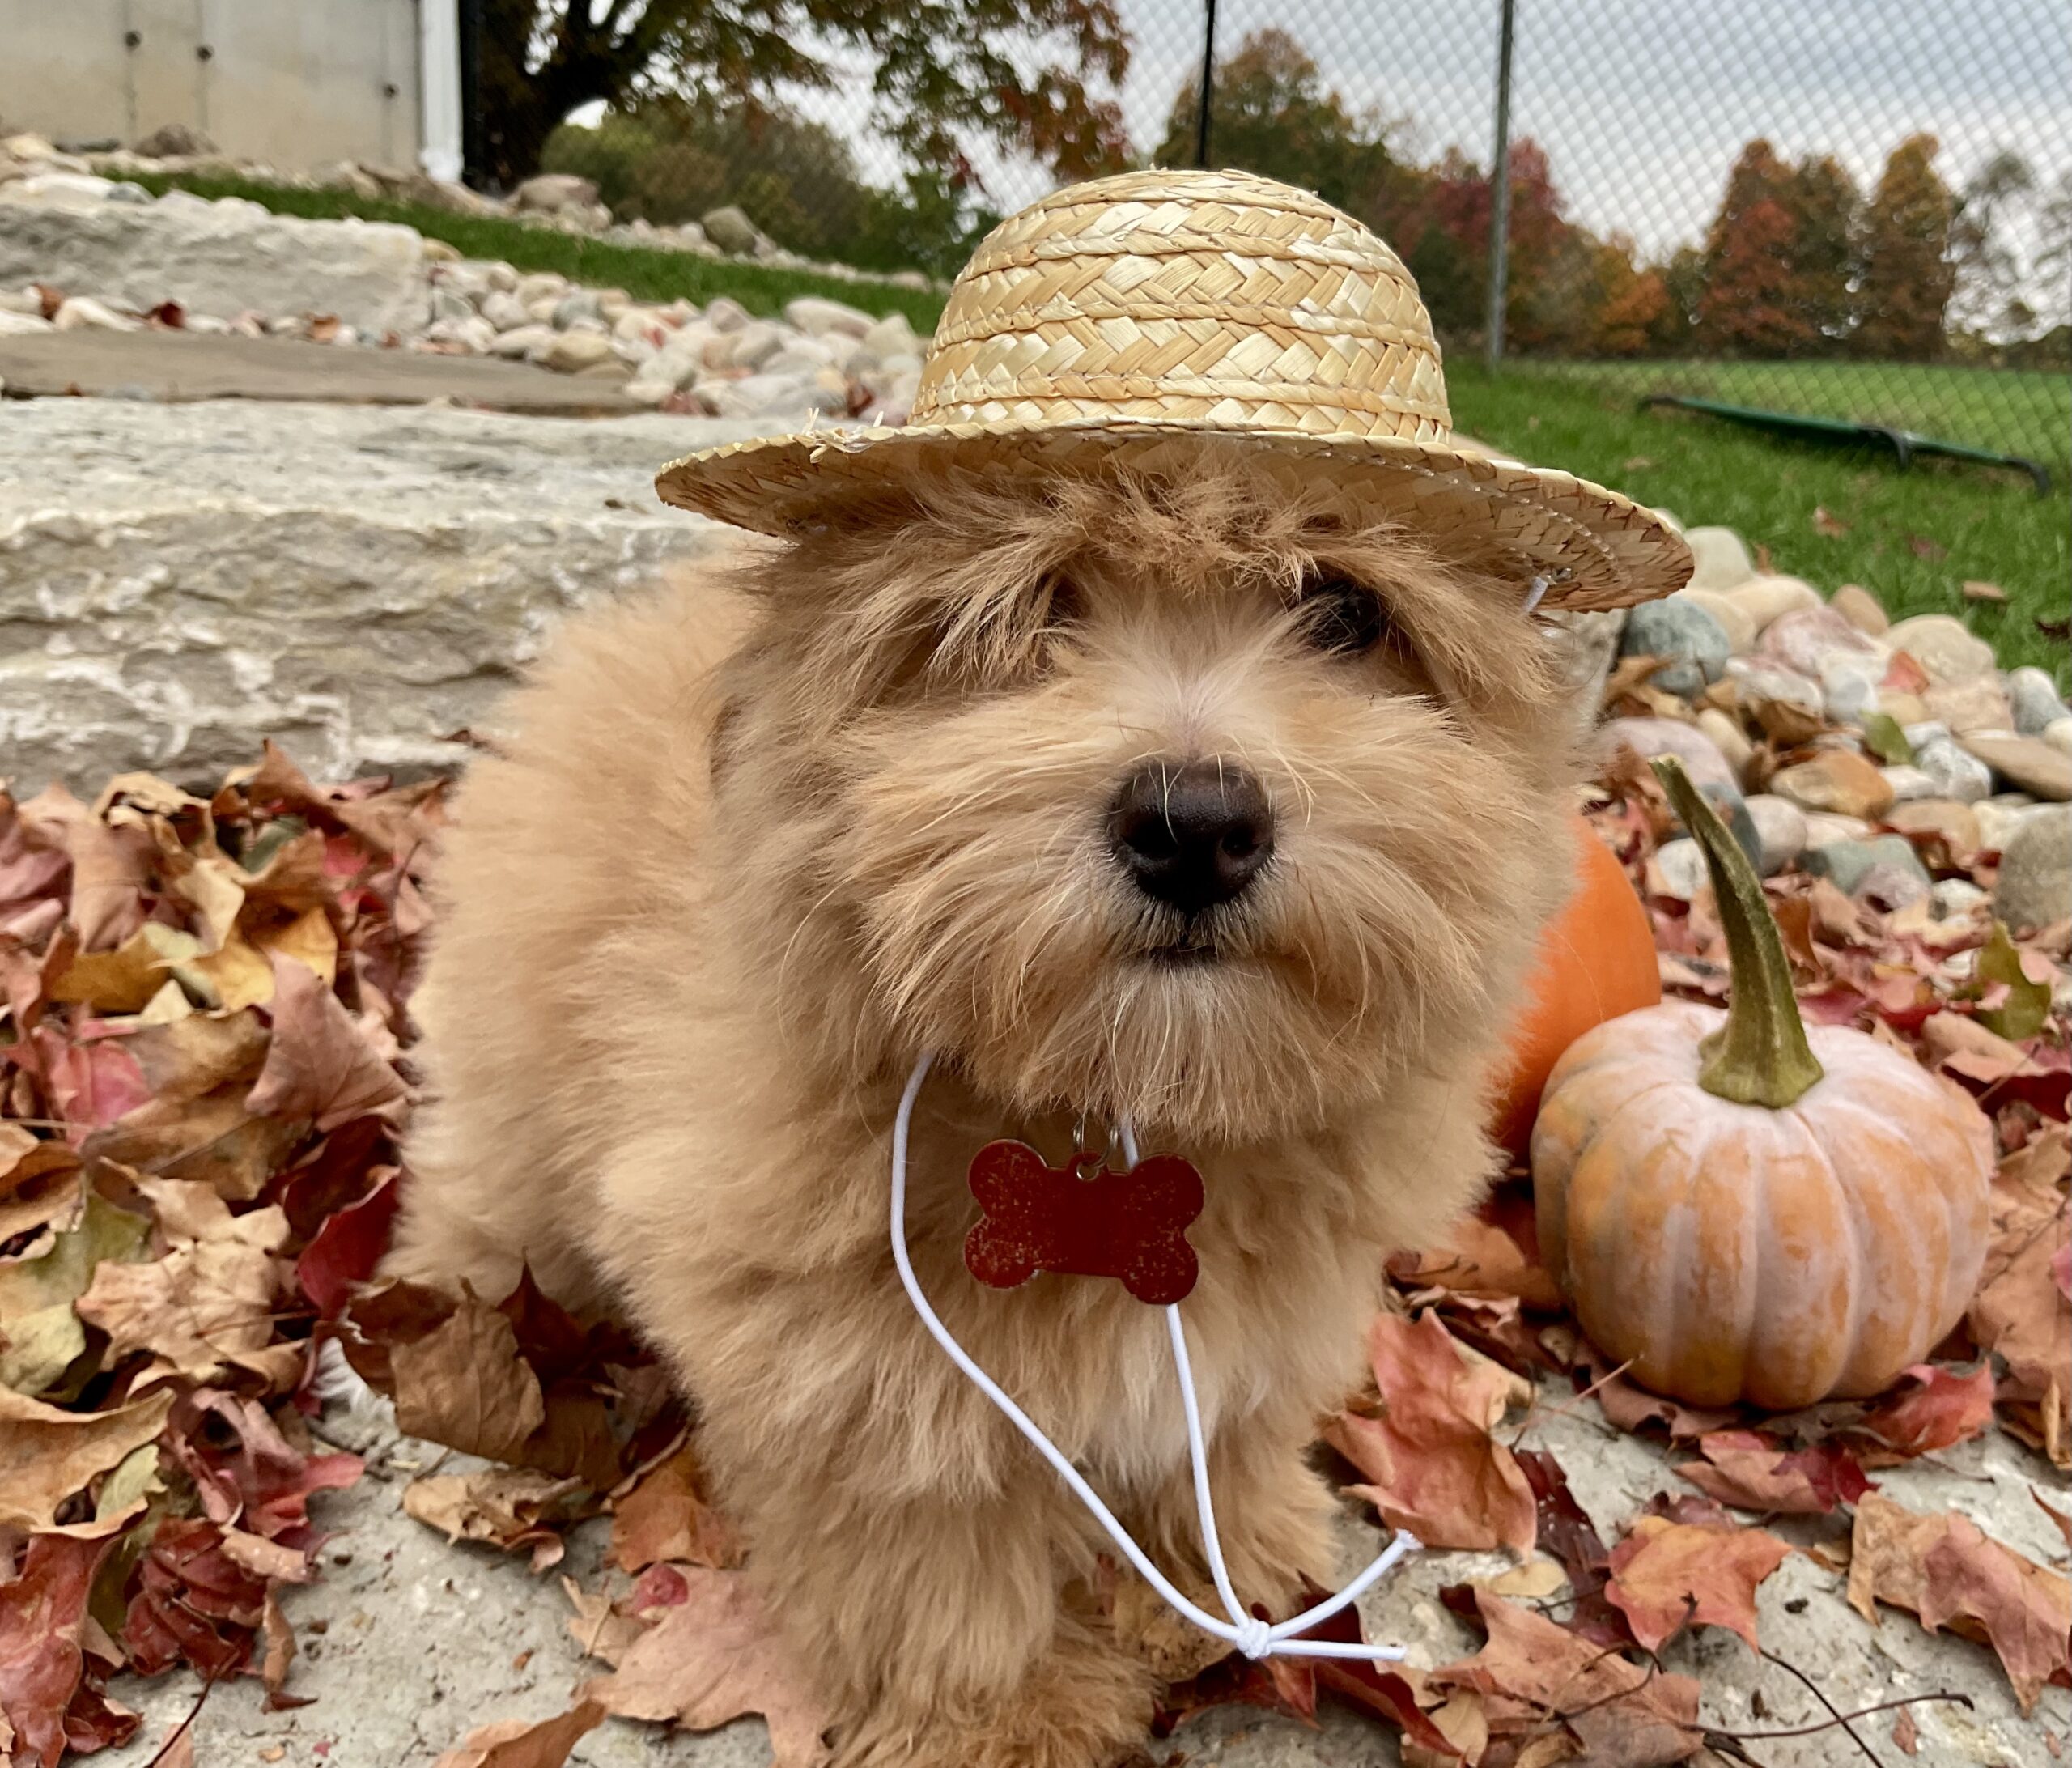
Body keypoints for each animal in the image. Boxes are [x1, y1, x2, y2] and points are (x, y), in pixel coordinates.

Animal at [382, 453, 1589, 1766]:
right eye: (1027, 608)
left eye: (1345, 612)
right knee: (481, 1194)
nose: (1197, 826)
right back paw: (460, 1341)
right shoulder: (853, 1363)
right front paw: (1005, 1712)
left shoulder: (1277, 1307)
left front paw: (1215, 1569)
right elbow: (934, 1544)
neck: (1123, 1108)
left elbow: (1225, 1426)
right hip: (513, 1092)